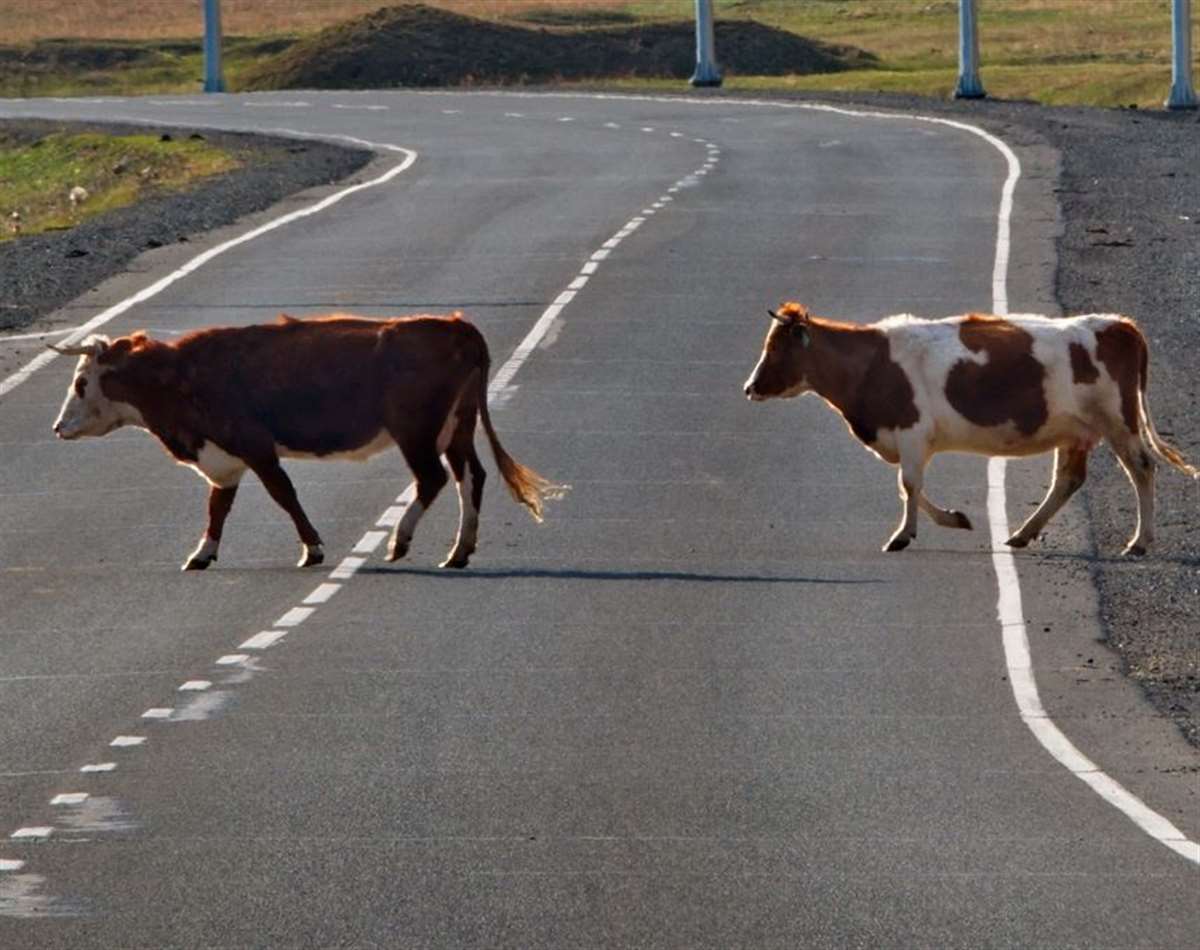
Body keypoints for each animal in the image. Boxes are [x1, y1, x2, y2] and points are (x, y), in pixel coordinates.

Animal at [51, 311, 566, 568]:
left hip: (416, 431)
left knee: (432, 480)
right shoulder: (225, 460)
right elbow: (218, 507)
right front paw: (202, 553)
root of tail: (457, 325)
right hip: (455, 428)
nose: (58, 428)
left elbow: (283, 495)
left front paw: (312, 548)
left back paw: (400, 542)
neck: (183, 376)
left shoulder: (256, 447)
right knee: (469, 477)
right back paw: (459, 550)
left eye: (81, 382)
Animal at [744, 302, 1195, 556]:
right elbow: (912, 487)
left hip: (1118, 421)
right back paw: (1024, 533)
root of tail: (1117, 324)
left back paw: (1139, 542)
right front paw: (953, 519)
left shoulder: (911, 432)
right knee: (1068, 480)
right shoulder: (910, 440)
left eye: (774, 349)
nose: (749, 387)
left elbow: (908, 485)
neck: (872, 363)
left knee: (1142, 469)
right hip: (1075, 432)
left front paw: (903, 535)